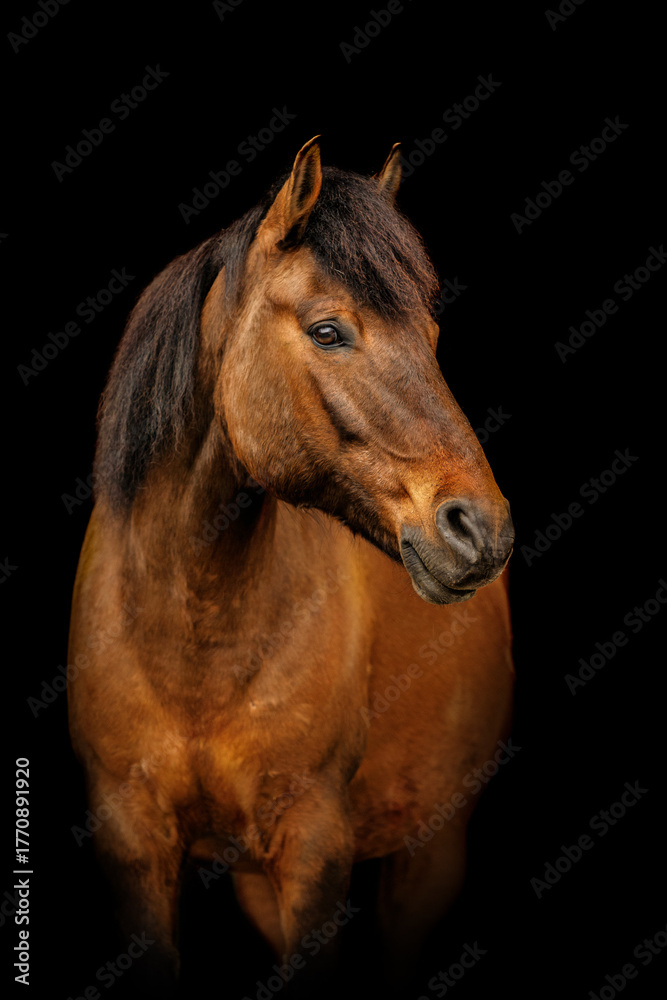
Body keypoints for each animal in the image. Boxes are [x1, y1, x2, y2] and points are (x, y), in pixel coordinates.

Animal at [67, 137, 515, 997]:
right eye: (329, 331)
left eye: (431, 336)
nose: (480, 530)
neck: (190, 635)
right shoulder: (133, 850)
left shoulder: (313, 850)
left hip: (427, 854)